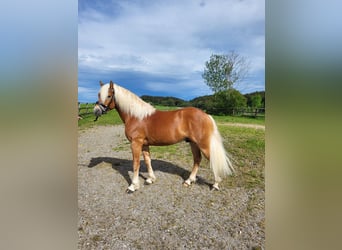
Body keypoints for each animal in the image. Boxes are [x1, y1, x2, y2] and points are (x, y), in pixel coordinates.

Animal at [95, 80, 235, 193]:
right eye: (98, 94)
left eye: (109, 95)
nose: (96, 110)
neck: (136, 116)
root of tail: (206, 115)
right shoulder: (144, 144)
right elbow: (147, 161)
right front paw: (150, 179)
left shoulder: (136, 143)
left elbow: (136, 164)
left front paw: (133, 186)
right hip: (193, 143)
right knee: (197, 159)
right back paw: (189, 181)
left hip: (204, 145)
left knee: (212, 160)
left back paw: (215, 184)